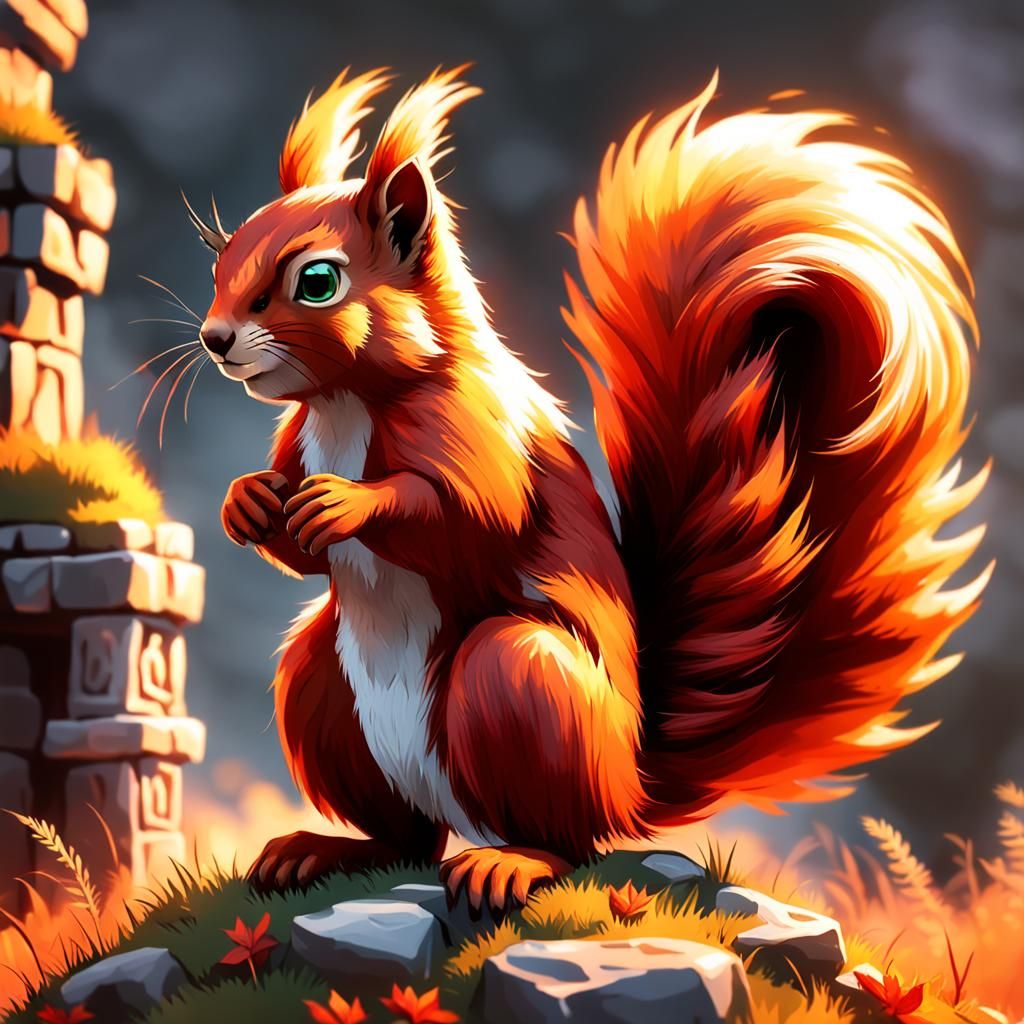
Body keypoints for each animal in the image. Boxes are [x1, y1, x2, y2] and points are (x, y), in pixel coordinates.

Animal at [188, 66, 990, 912]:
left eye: (317, 281)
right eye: (217, 265)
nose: (215, 339)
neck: (346, 402)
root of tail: (626, 787)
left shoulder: (480, 435)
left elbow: (466, 518)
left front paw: (350, 502)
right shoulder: (300, 444)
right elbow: (305, 555)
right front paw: (247, 502)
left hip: (520, 682)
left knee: (566, 842)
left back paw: (511, 861)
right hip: (322, 685)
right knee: (406, 838)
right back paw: (320, 850)